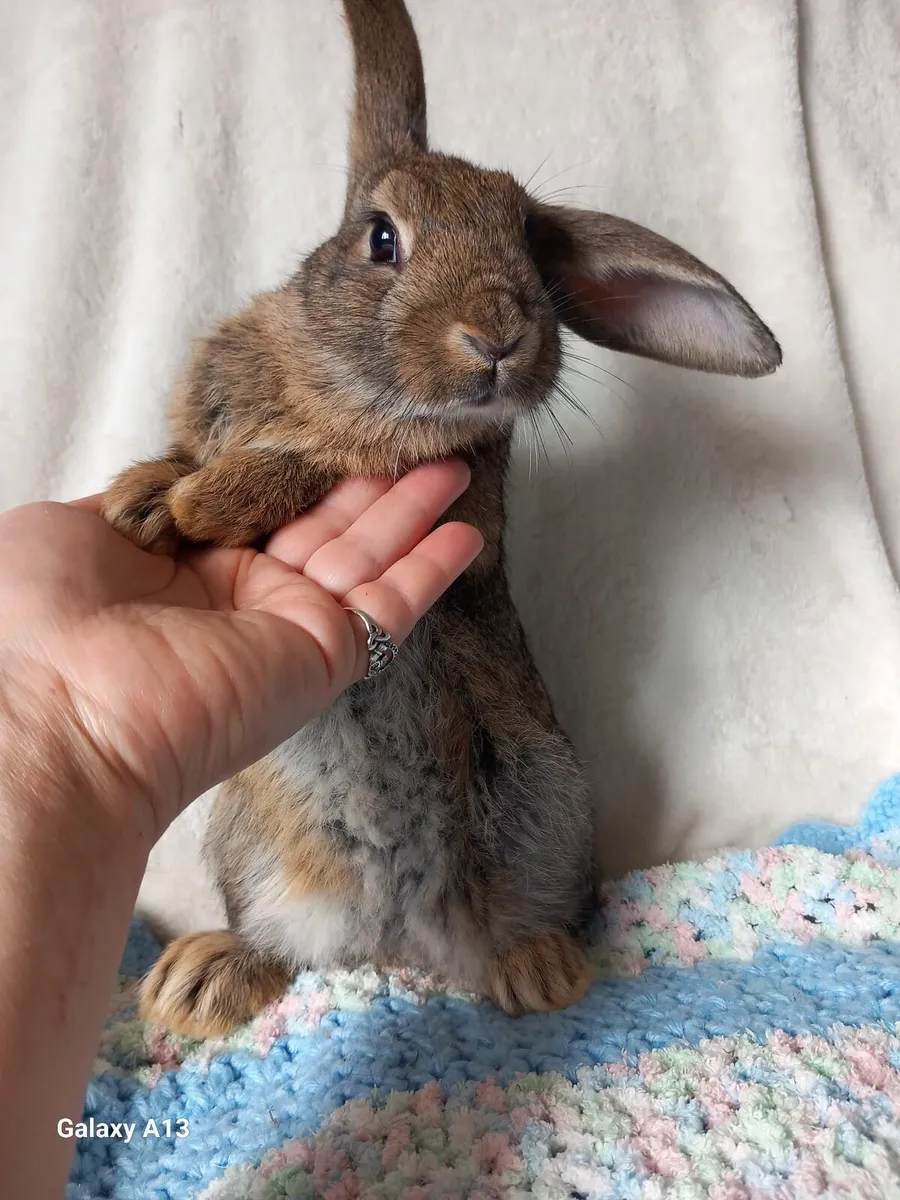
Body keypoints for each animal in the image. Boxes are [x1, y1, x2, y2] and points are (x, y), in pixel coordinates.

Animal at [103, 0, 781, 1036]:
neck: (352, 389)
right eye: (382, 240)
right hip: (248, 840)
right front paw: (145, 499)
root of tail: (398, 933)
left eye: (528, 244)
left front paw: (205, 498)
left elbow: (322, 465)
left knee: (526, 921)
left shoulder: (458, 502)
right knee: (287, 944)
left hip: (543, 804)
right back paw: (201, 979)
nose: (498, 335)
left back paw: (535, 968)